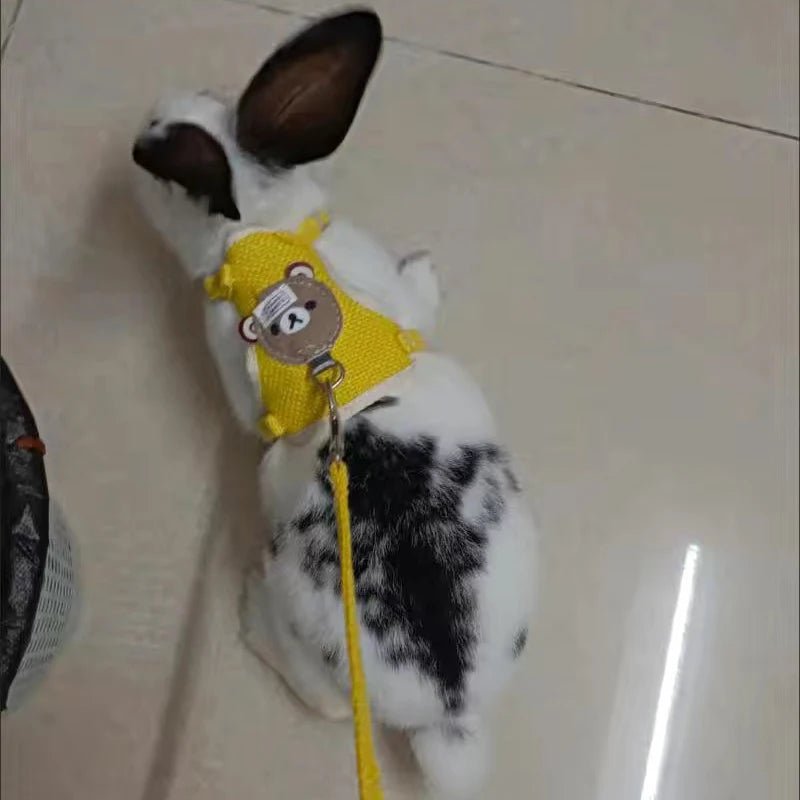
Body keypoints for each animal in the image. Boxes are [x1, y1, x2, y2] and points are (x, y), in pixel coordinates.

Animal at [131, 9, 535, 799]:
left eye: (154, 153)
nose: (138, 127)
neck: (256, 231)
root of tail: (448, 712)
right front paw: (426, 267)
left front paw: (425, 264)